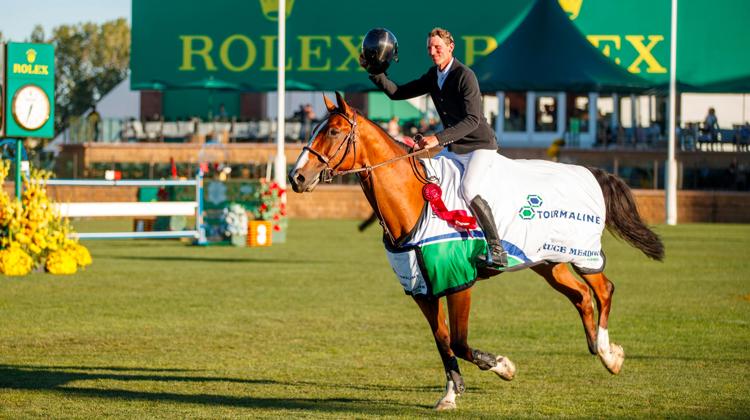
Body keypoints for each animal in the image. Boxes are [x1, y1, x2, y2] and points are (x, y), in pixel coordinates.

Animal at [288, 92, 664, 410]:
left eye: (334, 131)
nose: (296, 177)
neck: (415, 202)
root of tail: (589, 171)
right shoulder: (422, 289)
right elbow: (442, 341)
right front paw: (451, 394)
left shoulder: (459, 282)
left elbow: (459, 341)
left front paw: (503, 366)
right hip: (548, 262)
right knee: (582, 297)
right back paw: (599, 348)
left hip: (581, 254)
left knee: (603, 289)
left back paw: (608, 354)